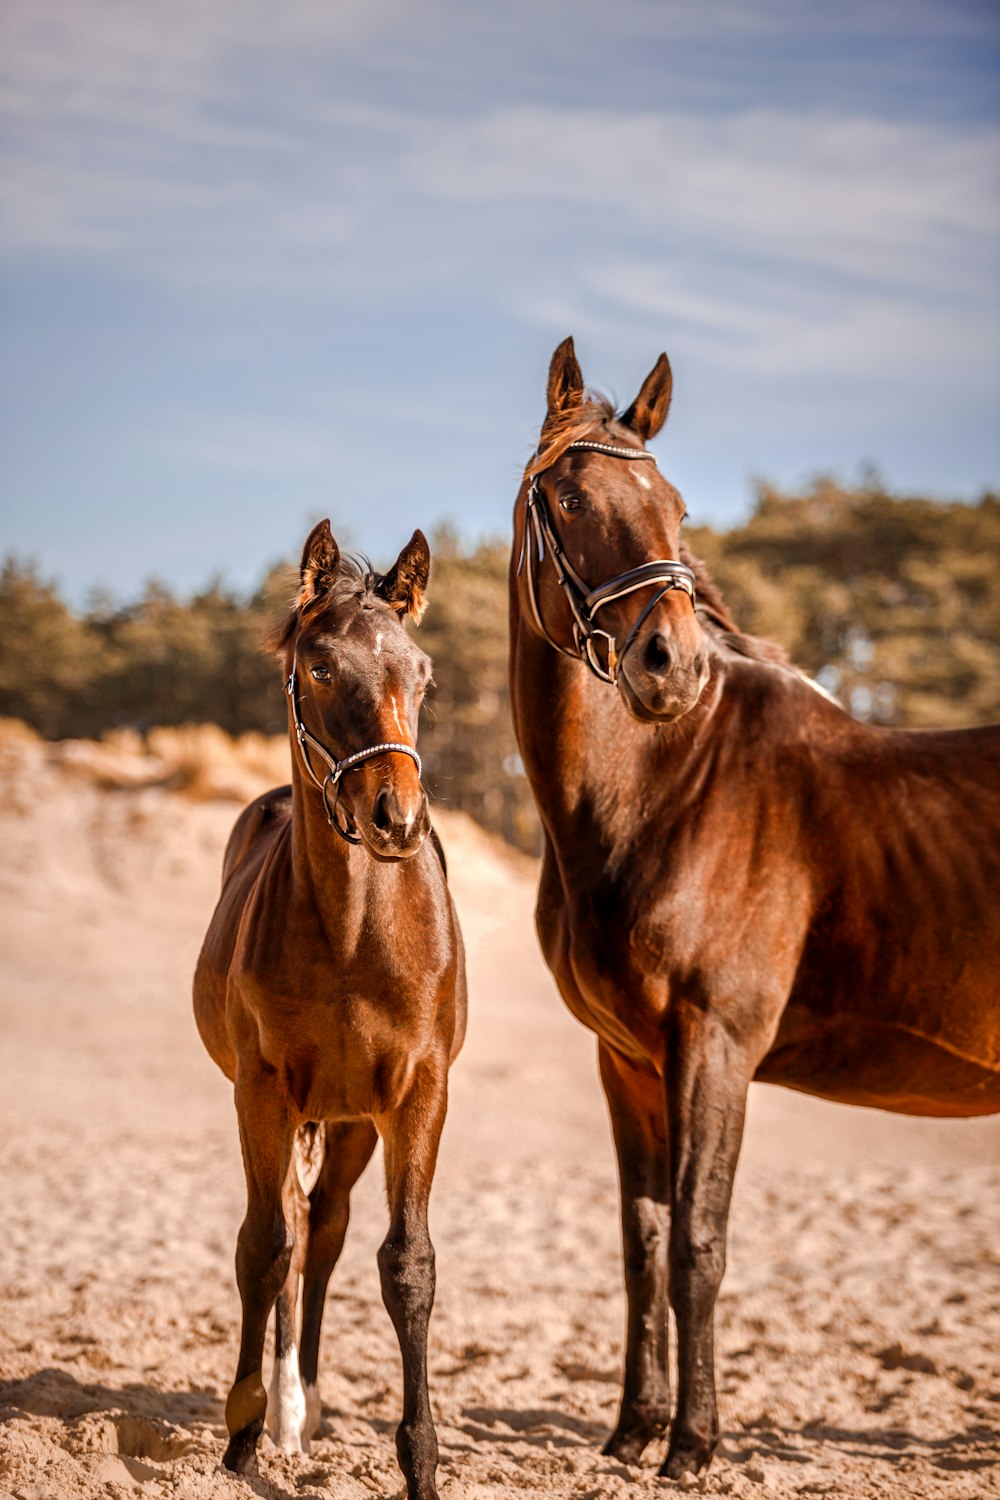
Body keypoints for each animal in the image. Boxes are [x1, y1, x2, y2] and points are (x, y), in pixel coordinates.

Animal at [193, 519, 467, 1500]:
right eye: (319, 667)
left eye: (421, 673)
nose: (397, 818)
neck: (353, 931)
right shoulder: (264, 1091)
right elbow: (263, 1245)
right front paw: (243, 1432)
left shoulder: (418, 1094)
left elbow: (406, 1265)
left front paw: (420, 1459)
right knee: (292, 1229)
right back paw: (283, 1414)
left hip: (350, 1123)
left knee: (331, 1232)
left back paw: (304, 1405)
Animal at [509, 337, 1000, 1476]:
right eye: (568, 497)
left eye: (677, 507)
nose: (671, 667)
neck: (667, 788)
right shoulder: (629, 1059)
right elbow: (641, 1243)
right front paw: (631, 1432)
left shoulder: (715, 1043)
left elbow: (698, 1240)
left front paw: (693, 1443)